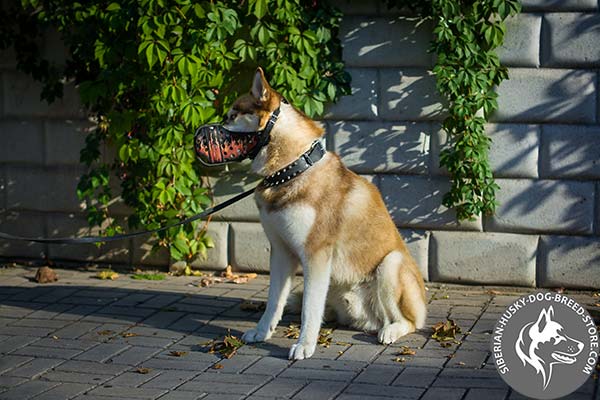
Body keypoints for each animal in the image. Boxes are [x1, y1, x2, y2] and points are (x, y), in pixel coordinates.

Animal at [225, 67, 426, 360]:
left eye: (232, 116)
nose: (206, 129)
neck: (292, 168)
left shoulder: (315, 255)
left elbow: (310, 309)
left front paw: (304, 345)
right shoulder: (281, 251)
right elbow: (274, 302)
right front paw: (262, 333)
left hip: (390, 265)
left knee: (409, 321)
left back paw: (390, 330)